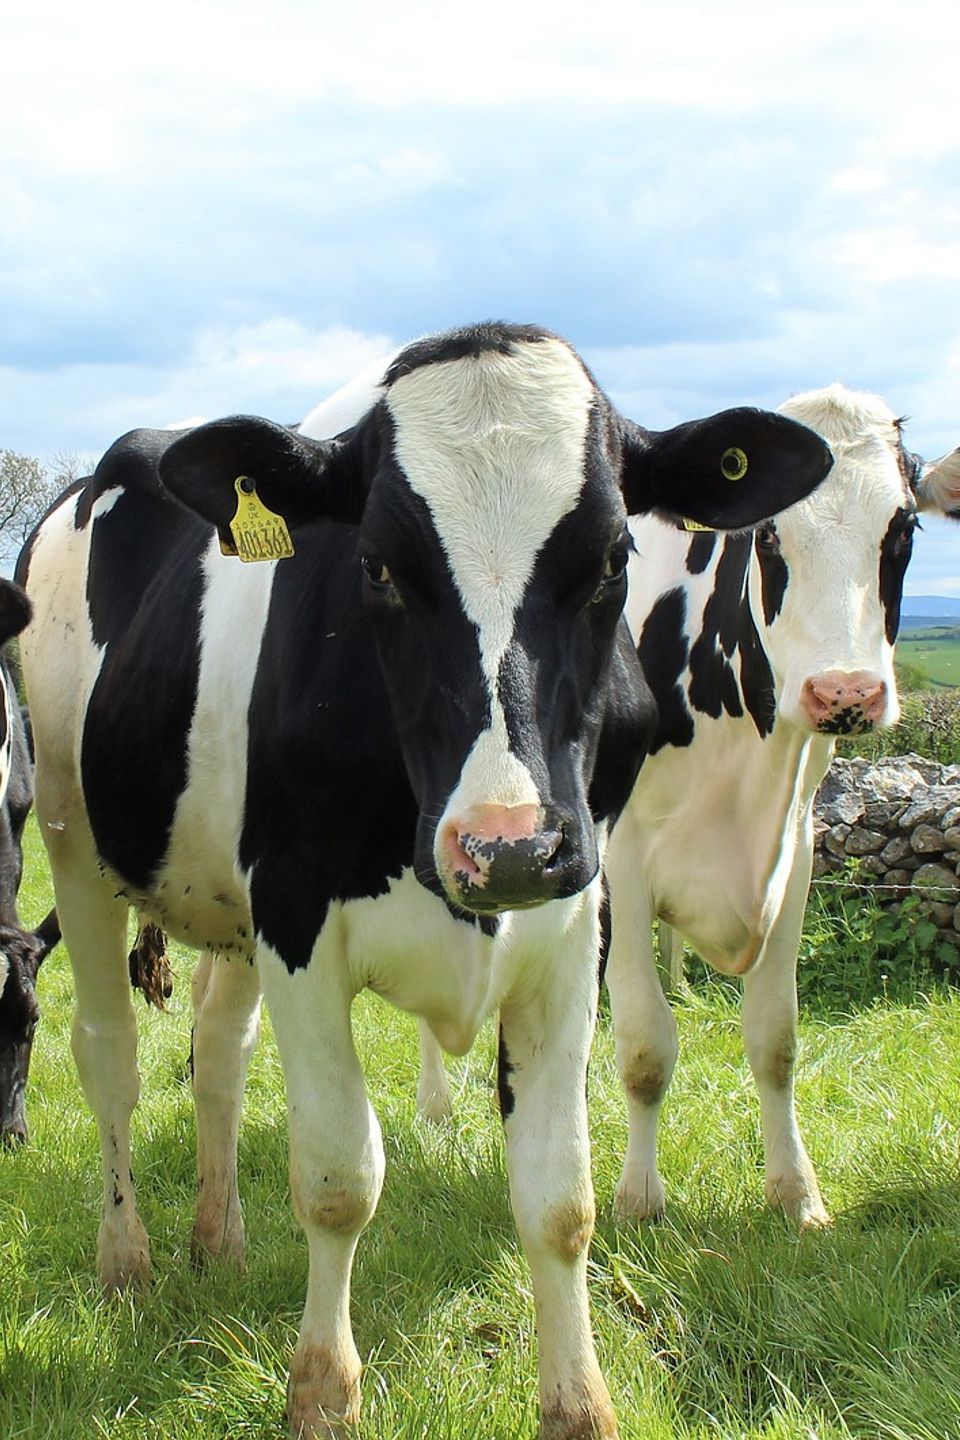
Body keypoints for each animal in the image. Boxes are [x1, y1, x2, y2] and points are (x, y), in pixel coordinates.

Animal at [15, 322, 831, 1439]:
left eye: (613, 559)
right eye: (378, 567)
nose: (508, 846)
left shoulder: (577, 920)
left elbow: (559, 1196)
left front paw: (579, 1403)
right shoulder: (297, 917)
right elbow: (337, 1175)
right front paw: (323, 1390)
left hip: (222, 899)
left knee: (218, 1056)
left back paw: (218, 1240)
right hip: (72, 832)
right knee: (111, 1056)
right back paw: (126, 1260)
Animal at [601, 383, 960, 1232]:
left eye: (905, 528)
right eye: (766, 534)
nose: (844, 692)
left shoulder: (794, 852)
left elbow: (776, 1040)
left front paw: (796, 1195)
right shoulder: (621, 859)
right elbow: (645, 1047)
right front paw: (637, 1200)